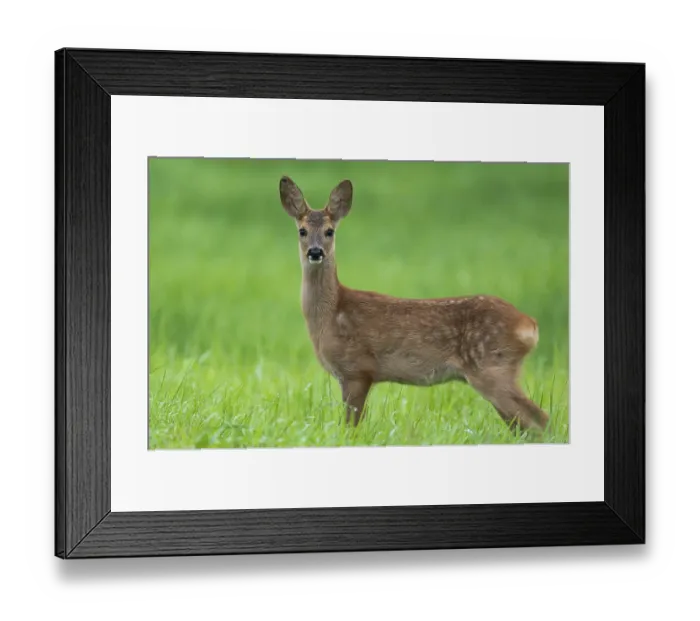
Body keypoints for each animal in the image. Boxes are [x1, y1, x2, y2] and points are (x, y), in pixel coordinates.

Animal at [279, 176, 550, 434]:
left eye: (329, 231)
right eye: (302, 231)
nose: (315, 252)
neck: (332, 313)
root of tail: (529, 325)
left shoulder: (357, 369)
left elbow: (350, 427)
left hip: (493, 367)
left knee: (540, 419)